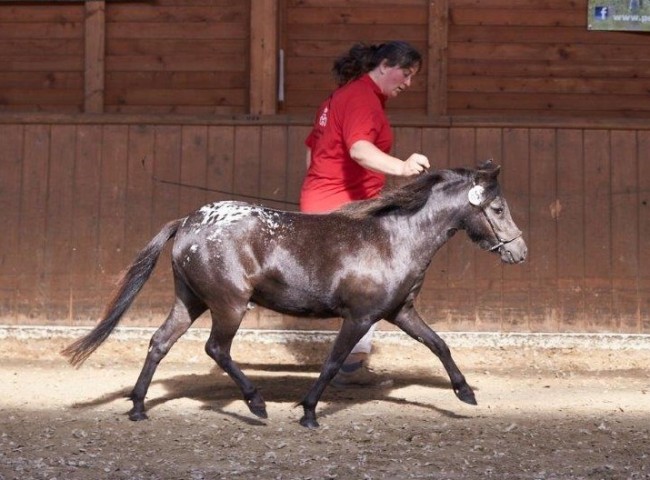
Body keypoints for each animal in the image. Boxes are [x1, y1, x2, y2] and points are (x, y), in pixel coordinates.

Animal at [62, 160, 527, 429]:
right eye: (498, 209)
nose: (520, 251)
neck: (395, 238)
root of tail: (190, 221)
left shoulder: (401, 311)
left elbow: (439, 344)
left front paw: (465, 393)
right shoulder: (360, 317)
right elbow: (333, 362)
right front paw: (307, 412)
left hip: (190, 301)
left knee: (159, 342)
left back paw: (139, 407)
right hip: (229, 305)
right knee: (216, 349)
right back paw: (255, 404)